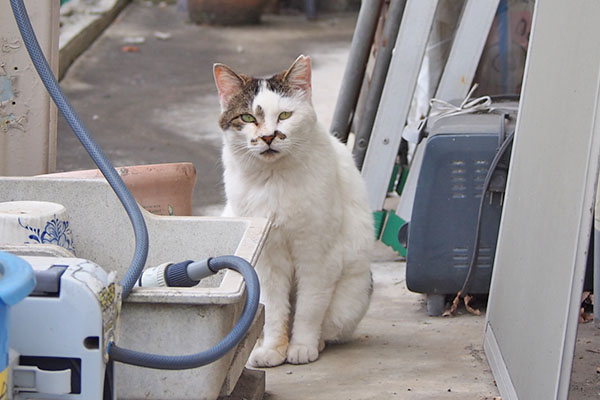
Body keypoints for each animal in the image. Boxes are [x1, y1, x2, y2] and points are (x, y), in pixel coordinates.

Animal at [213, 54, 372, 368]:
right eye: (248, 118)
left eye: (285, 116)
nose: (268, 137)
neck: (274, 181)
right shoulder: (267, 261)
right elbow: (275, 310)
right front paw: (274, 350)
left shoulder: (317, 255)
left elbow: (309, 308)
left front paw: (301, 347)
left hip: (349, 299)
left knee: (328, 321)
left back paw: (318, 342)